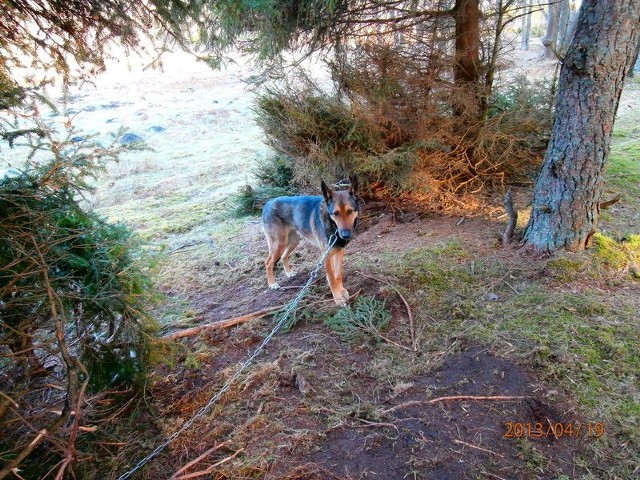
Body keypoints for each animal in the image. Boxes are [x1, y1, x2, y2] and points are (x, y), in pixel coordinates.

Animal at [262, 177, 360, 308]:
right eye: (335, 213)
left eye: (350, 211)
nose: (345, 235)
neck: (332, 224)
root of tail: (267, 203)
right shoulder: (326, 257)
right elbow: (332, 279)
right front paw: (338, 298)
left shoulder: (338, 251)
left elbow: (338, 275)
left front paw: (342, 292)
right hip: (279, 243)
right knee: (268, 263)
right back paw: (272, 284)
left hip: (293, 242)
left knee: (283, 256)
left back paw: (288, 273)